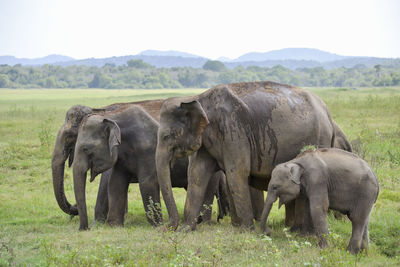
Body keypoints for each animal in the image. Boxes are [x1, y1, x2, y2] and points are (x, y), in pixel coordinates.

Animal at [155, 80, 336, 231]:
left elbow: (236, 173)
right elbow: (197, 175)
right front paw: (186, 230)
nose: (166, 228)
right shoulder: (207, 141)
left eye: (166, 136)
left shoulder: (234, 129)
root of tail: (328, 112)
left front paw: (246, 230)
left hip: (320, 138)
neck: (197, 98)